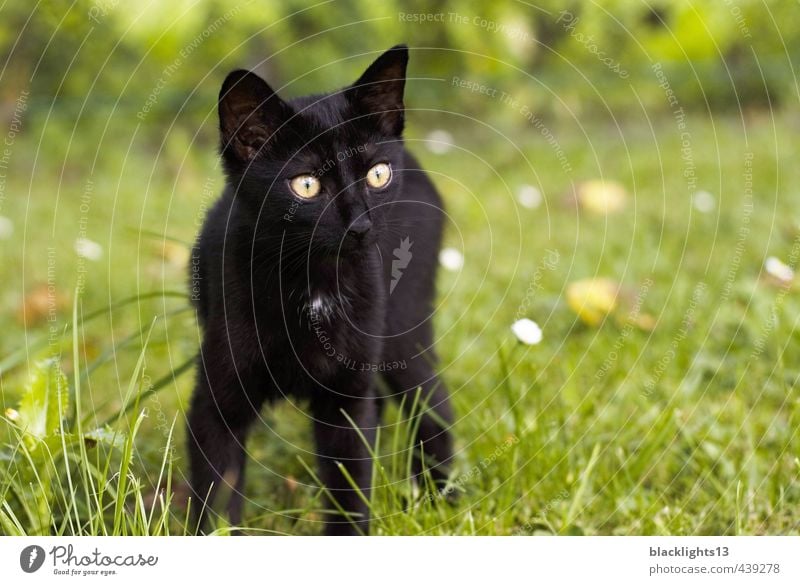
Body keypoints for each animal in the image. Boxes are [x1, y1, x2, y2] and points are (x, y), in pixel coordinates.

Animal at [184, 44, 454, 532]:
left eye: (377, 175)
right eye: (307, 185)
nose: (360, 225)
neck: (315, 285)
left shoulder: (346, 401)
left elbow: (350, 485)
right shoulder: (216, 404)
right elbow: (216, 495)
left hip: (400, 328)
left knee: (435, 404)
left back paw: (441, 500)